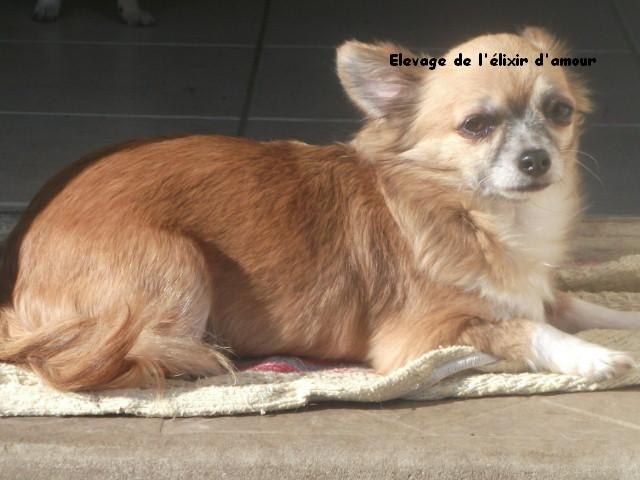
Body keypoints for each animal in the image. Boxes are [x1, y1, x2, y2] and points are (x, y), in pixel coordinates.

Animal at [0, 28, 638, 392]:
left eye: (559, 112)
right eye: (477, 125)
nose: (536, 159)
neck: (481, 215)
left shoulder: (537, 289)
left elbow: (580, 305)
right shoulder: (425, 336)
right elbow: (528, 328)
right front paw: (595, 357)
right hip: (177, 266)